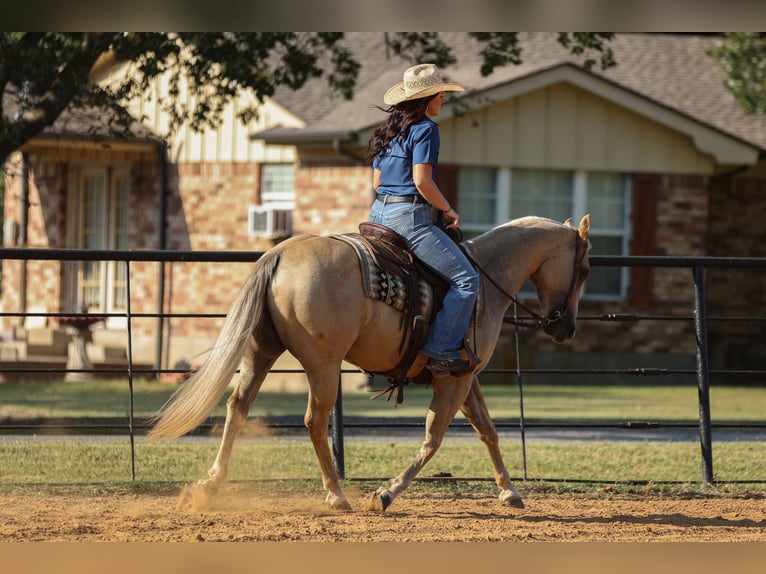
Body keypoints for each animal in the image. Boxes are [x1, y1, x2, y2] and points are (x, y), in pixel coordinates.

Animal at [149, 214, 591, 512]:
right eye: (585, 269)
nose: (566, 328)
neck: (485, 283)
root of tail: (279, 253)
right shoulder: (454, 381)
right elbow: (433, 438)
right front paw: (386, 492)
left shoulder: (466, 377)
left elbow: (488, 430)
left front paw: (509, 490)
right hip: (323, 365)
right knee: (314, 420)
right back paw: (335, 494)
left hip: (260, 353)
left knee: (237, 407)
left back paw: (210, 485)